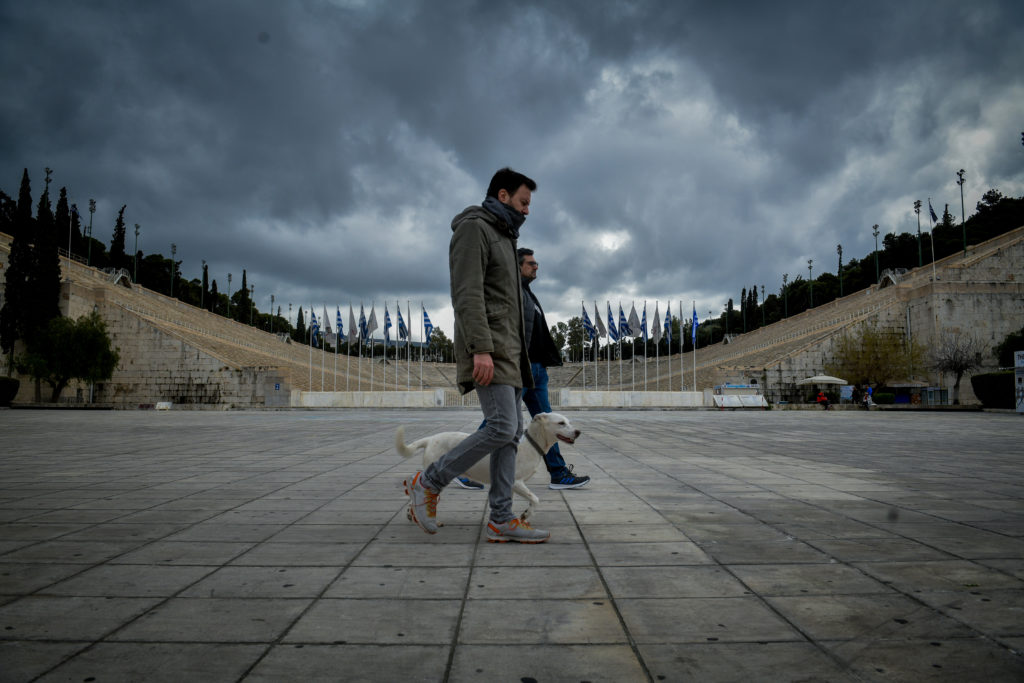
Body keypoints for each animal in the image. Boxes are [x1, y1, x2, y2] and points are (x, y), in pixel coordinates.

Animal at [395, 411, 581, 524]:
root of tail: (430, 439)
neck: (531, 443)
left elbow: (509, 503)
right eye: (561, 423)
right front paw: (526, 515)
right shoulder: (516, 482)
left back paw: (412, 514)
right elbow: (535, 499)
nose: (578, 432)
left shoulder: (510, 486)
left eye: (569, 422)